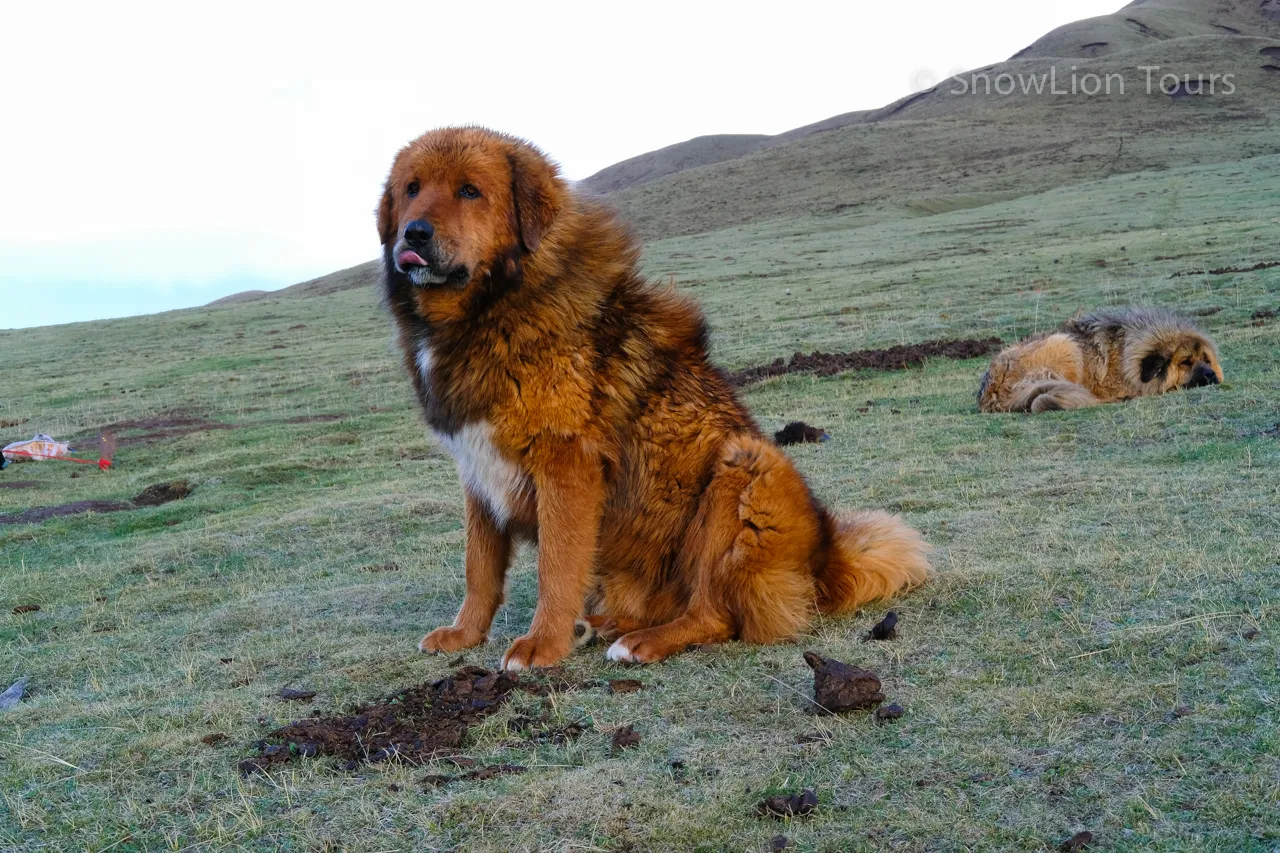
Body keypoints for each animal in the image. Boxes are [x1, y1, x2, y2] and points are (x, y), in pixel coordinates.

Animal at [373, 128, 926, 671]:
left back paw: (640, 642)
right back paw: (600, 626)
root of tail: (827, 561)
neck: (494, 306)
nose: (414, 234)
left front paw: (542, 645)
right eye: (412, 189)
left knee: (714, 614)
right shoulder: (478, 468)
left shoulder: (566, 465)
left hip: (742, 467)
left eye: (470, 191)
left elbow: (556, 566)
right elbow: (480, 567)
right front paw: (465, 635)